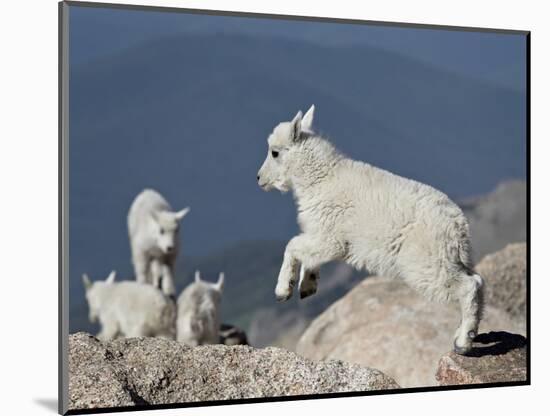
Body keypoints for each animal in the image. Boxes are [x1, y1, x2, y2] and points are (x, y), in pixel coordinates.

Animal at [256, 105, 486, 354]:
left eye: (275, 152)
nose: (259, 178)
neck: (320, 179)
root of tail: (458, 226)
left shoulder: (331, 237)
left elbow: (293, 245)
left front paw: (283, 290)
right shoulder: (321, 236)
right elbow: (309, 255)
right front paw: (307, 286)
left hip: (426, 262)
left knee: (468, 286)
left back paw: (463, 342)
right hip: (450, 259)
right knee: (478, 280)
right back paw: (465, 334)